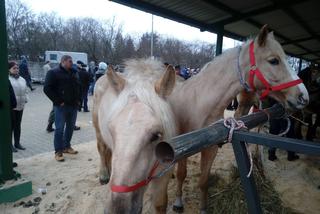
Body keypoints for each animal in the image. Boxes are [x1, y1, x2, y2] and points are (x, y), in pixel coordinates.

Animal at [92, 59, 176, 214]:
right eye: (111, 130)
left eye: (156, 135)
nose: (117, 209)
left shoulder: (165, 173)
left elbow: (160, 204)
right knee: (101, 148)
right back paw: (104, 174)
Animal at [166, 25, 308, 214]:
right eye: (273, 61)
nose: (304, 97)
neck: (198, 102)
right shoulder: (185, 149)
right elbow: (182, 174)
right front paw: (178, 202)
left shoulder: (211, 149)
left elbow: (203, 181)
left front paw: (203, 208)